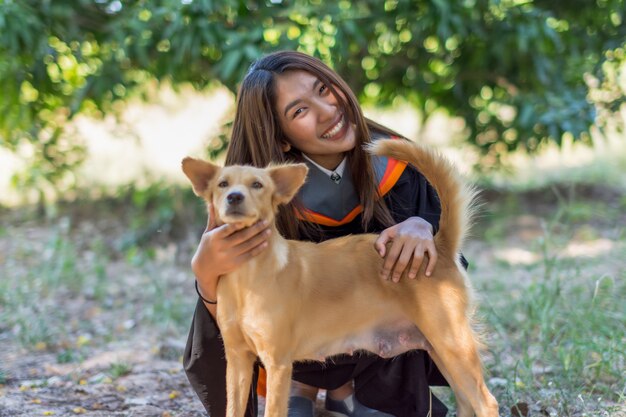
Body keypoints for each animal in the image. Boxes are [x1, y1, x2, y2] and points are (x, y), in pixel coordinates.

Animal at [180, 140, 498, 416]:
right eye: (222, 184)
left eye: (257, 185)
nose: (234, 197)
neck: (247, 277)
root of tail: (438, 245)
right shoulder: (238, 360)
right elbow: (232, 408)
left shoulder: (278, 363)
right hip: (440, 350)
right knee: (467, 402)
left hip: (453, 344)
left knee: (486, 403)